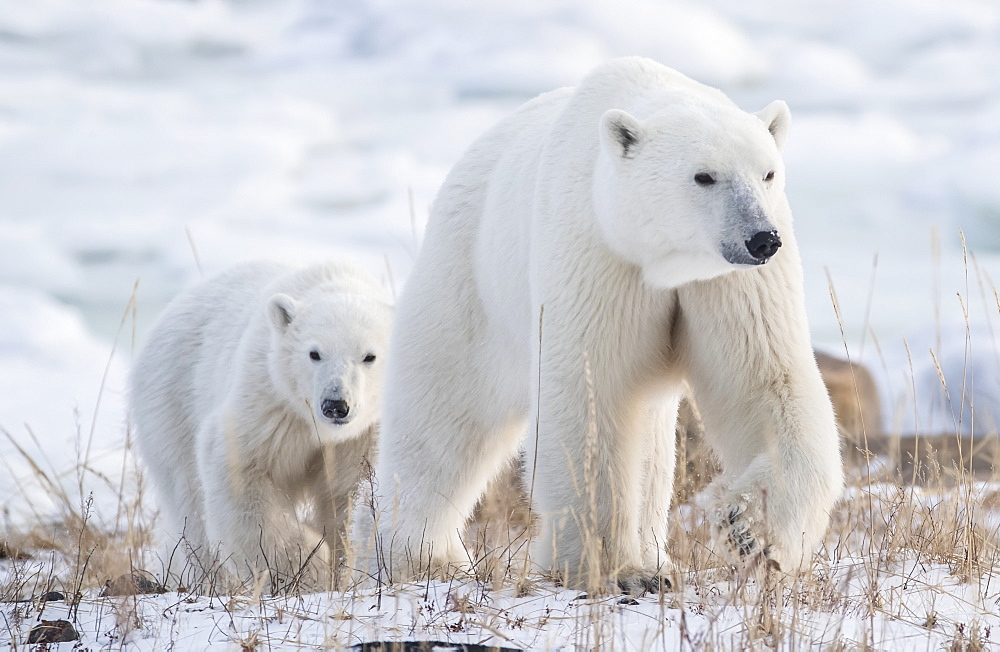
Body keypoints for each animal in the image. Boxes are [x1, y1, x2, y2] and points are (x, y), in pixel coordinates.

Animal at [360, 57, 844, 592]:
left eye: (767, 172)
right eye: (704, 176)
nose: (761, 239)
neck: (661, 258)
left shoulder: (728, 284)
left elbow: (765, 381)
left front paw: (748, 530)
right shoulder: (596, 253)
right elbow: (589, 395)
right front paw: (612, 569)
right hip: (469, 283)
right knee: (443, 415)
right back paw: (419, 557)